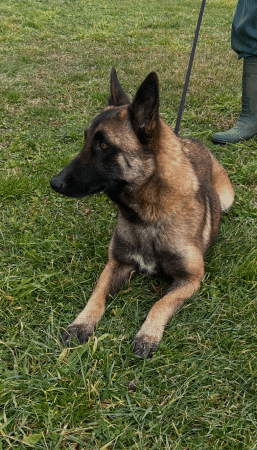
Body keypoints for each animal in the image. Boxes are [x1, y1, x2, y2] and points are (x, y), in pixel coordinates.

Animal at [50, 67, 234, 356]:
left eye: (104, 146)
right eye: (86, 139)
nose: (54, 183)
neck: (148, 217)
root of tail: (191, 140)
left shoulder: (190, 279)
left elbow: (161, 303)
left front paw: (148, 334)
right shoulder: (117, 264)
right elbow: (97, 294)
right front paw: (82, 323)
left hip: (227, 200)